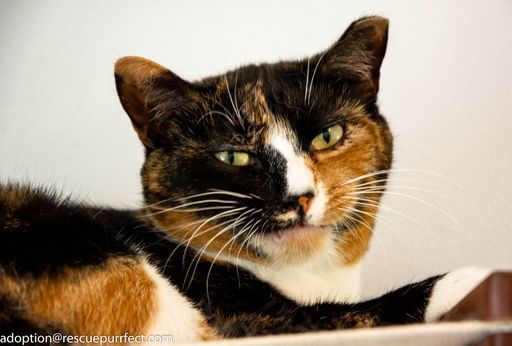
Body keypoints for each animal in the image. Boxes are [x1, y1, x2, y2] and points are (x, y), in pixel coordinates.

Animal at [0, 16, 492, 344]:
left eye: (326, 136)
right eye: (233, 156)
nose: (299, 196)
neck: (310, 277)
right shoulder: (249, 318)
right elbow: (360, 312)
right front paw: (474, 278)